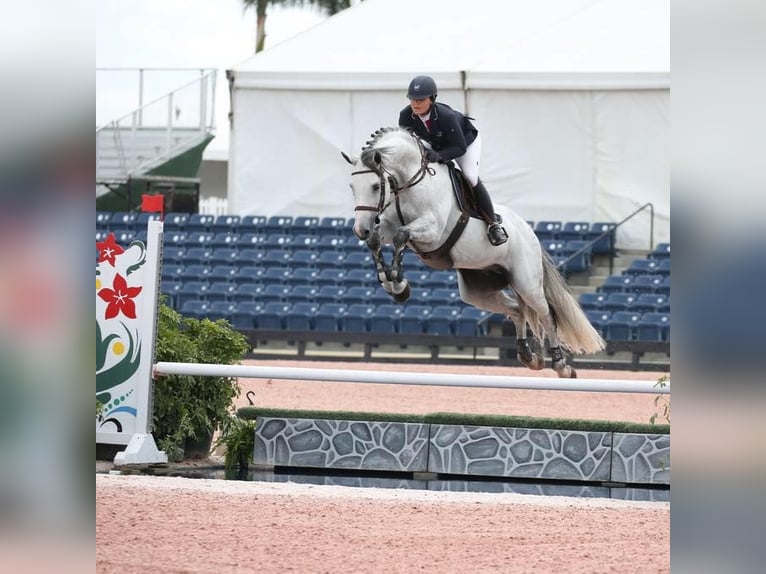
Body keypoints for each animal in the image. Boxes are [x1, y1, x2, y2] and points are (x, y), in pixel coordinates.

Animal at [344, 127, 608, 378]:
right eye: (352, 187)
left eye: (375, 186)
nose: (360, 229)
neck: (408, 183)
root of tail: (529, 232)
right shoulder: (387, 226)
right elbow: (378, 240)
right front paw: (391, 282)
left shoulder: (433, 230)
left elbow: (401, 236)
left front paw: (398, 283)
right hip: (478, 290)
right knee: (517, 309)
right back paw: (528, 356)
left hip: (527, 283)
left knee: (545, 314)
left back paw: (561, 364)